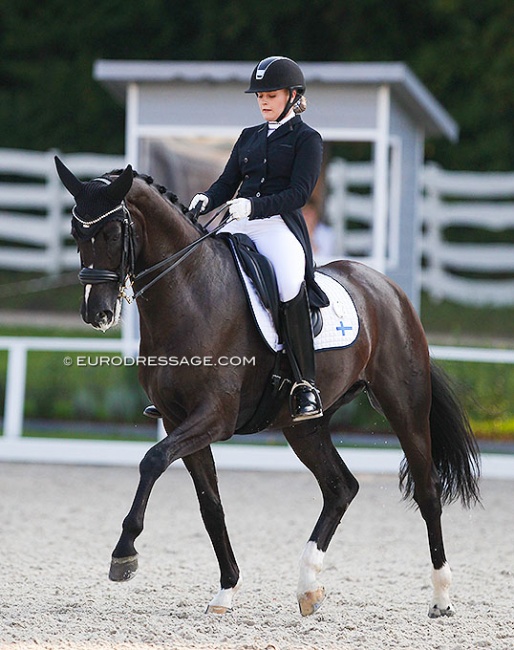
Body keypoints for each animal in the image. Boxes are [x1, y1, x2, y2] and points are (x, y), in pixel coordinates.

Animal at [54, 158, 478, 616]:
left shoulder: (214, 417)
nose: (96, 313)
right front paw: (226, 590)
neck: (189, 294)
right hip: (303, 425)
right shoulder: (175, 419)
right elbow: (210, 505)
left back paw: (441, 598)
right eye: (76, 233)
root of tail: (389, 289)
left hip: (405, 407)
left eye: (114, 232)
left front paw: (124, 554)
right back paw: (308, 586)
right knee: (340, 487)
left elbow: (152, 461)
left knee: (427, 491)